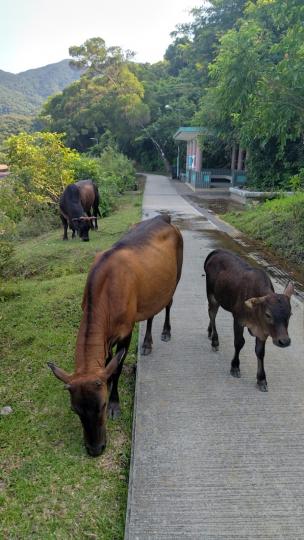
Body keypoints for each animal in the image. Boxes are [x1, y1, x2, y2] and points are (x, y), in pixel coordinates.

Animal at [48, 213, 184, 454]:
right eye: (74, 410)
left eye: (101, 405)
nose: (95, 449)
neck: (105, 294)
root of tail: (164, 217)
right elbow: (108, 363)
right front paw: (109, 381)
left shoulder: (125, 331)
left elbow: (118, 367)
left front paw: (115, 403)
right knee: (150, 313)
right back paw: (147, 343)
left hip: (176, 275)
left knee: (168, 303)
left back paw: (164, 332)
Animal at [203, 249, 294, 392]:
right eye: (268, 315)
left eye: (290, 314)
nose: (284, 341)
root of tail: (216, 252)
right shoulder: (238, 320)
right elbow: (239, 342)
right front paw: (235, 367)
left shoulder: (263, 330)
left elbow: (260, 352)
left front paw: (261, 379)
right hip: (212, 295)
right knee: (212, 314)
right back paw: (215, 341)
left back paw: (209, 332)